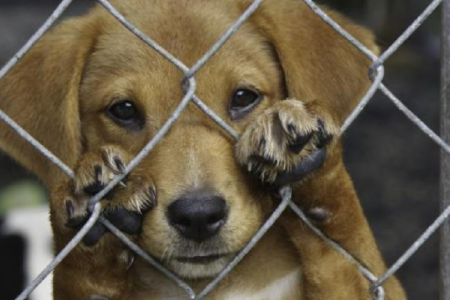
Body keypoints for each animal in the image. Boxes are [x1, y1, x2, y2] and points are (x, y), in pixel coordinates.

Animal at [0, 0, 406, 300]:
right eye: (124, 110)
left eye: (243, 97)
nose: (198, 215)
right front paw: (97, 213)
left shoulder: (378, 283)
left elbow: (346, 252)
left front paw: (309, 162)